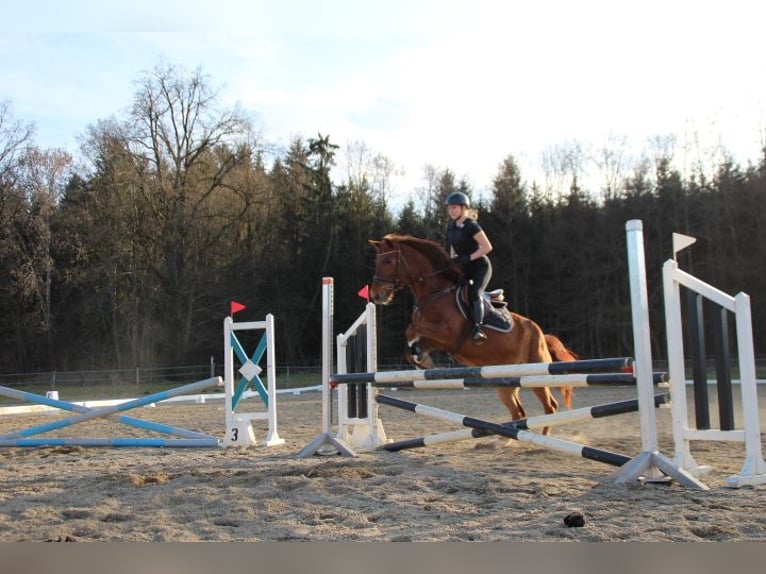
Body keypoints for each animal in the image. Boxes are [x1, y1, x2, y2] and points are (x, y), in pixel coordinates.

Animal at [368, 234, 576, 436]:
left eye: (387, 261)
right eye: (376, 261)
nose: (376, 295)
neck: (435, 294)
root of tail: (540, 332)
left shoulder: (449, 334)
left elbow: (413, 328)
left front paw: (422, 358)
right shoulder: (436, 339)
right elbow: (414, 338)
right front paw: (420, 357)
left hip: (536, 372)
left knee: (550, 407)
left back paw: (541, 438)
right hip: (505, 379)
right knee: (518, 411)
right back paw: (504, 441)